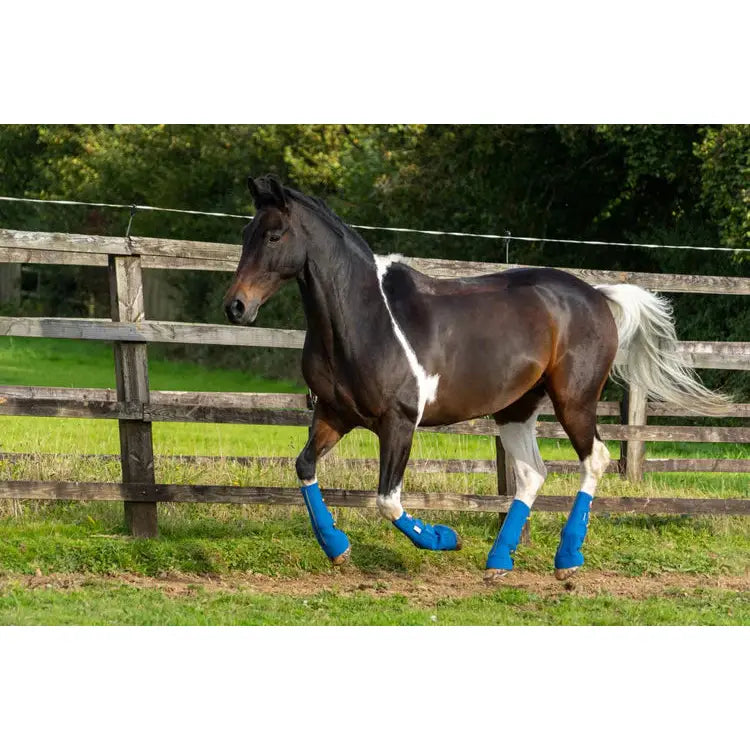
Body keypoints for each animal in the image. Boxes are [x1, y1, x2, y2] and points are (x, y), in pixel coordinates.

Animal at [224, 175, 731, 581]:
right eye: (245, 233)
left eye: (274, 235)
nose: (236, 307)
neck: (363, 317)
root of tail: (596, 295)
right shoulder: (334, 415)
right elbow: (305, 467)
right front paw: (338, 548)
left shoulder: (399, 422)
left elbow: (388, 499)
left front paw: (443, 537)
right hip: (515, 409)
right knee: (531, 474)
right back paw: (499, 562)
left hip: (574, 401)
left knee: (596, 460)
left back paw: (567, 558)